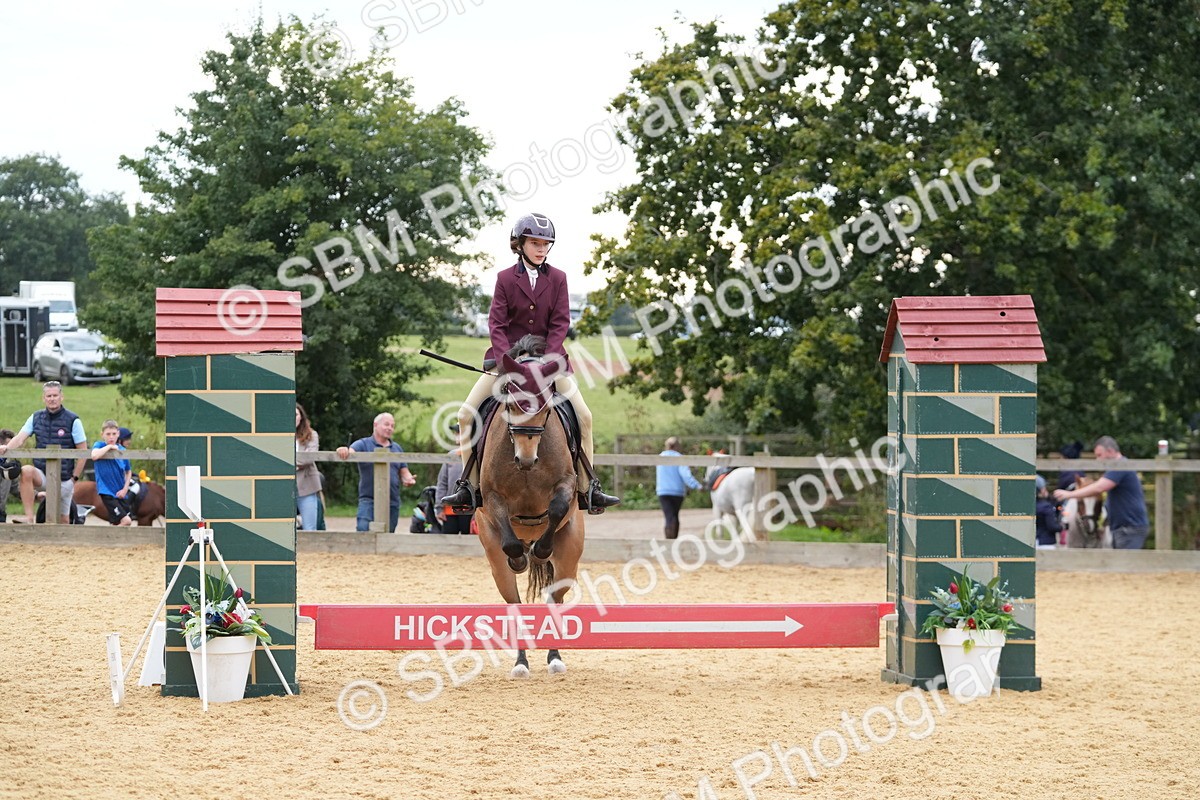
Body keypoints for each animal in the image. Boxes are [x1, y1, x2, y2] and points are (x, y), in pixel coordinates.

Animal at [475, 334, 584, 678]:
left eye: (546, 407)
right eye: (511, 404)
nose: (525, 459)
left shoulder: (566, 484)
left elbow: (558, 508)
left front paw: (540, 551)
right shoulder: (491, 496)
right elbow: (510, 542)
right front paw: (521, 558)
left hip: (569, 556)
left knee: (554, 598)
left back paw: (554, 658)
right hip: (495, 563)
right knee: (515, 603)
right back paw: (521, 662)